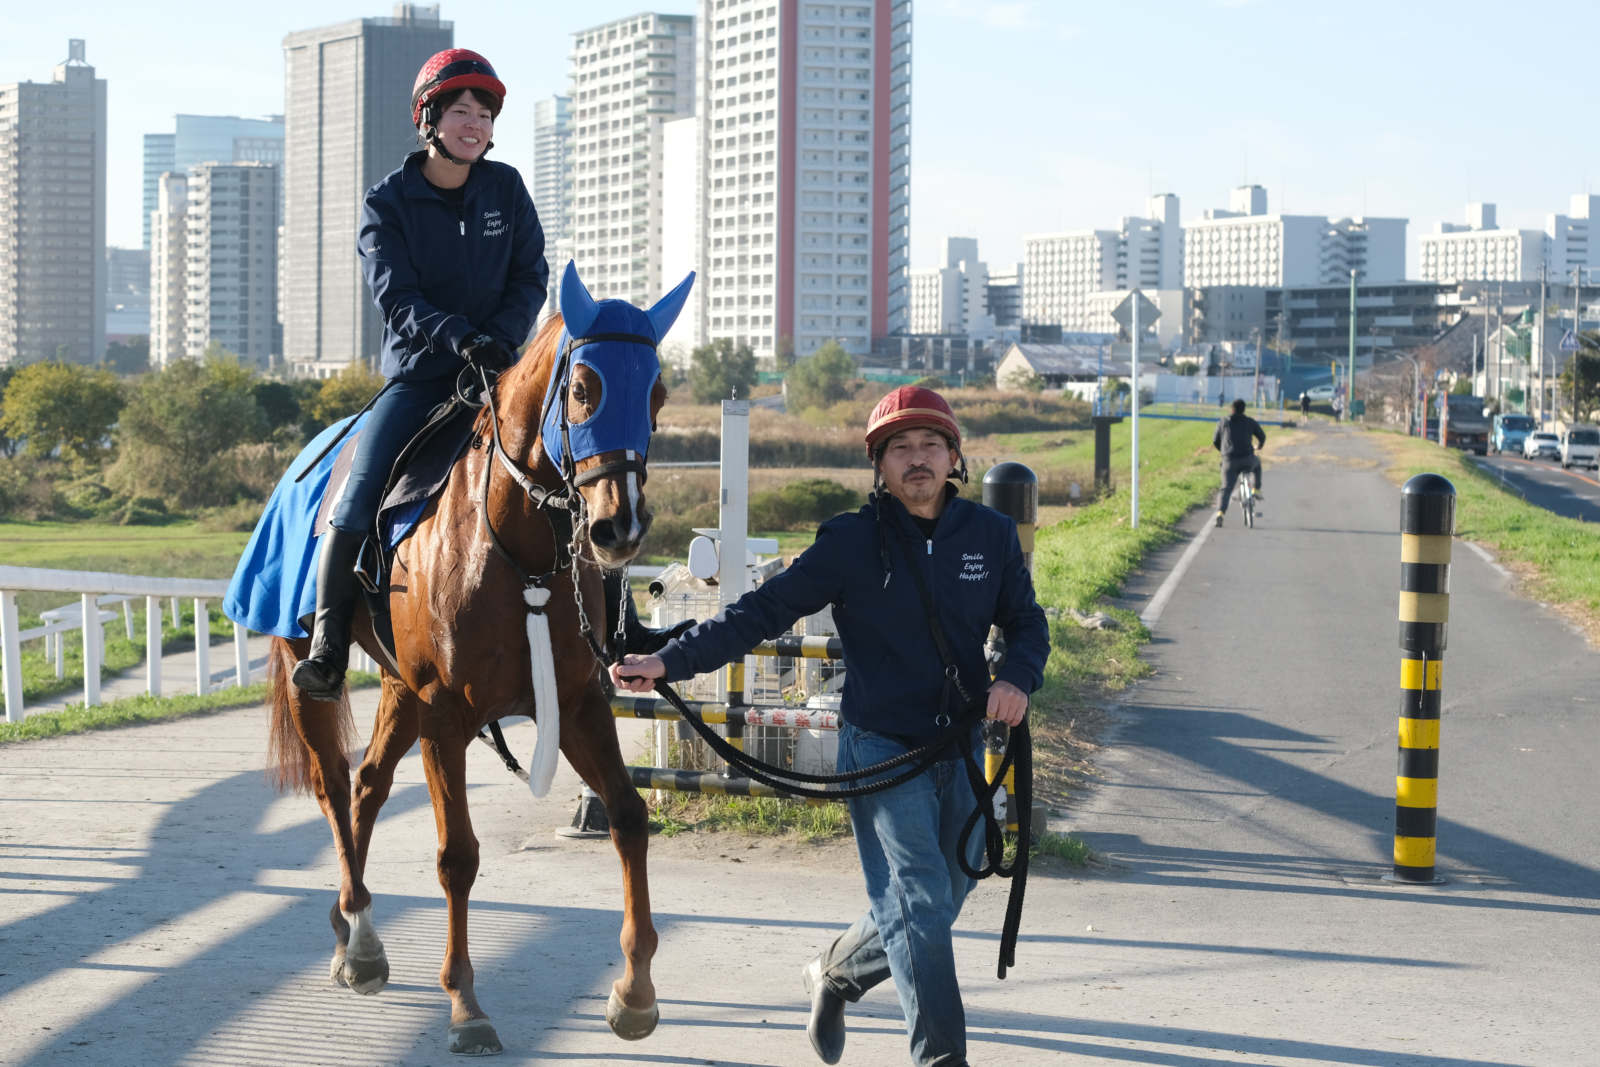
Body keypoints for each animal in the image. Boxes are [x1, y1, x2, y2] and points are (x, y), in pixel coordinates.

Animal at [265, 262, 691, 1055]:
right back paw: (359, 932)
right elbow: (457, 856)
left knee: (368, 785)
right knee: (334, 787)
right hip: (317, 674)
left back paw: (353, 931)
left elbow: (628, 816)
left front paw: (636, 990)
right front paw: (465, 1004)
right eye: (582, 386)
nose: (618, 528)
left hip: (399, 688)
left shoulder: (579, 704)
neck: (516, 544)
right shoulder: (447, 716)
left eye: (657, 394)